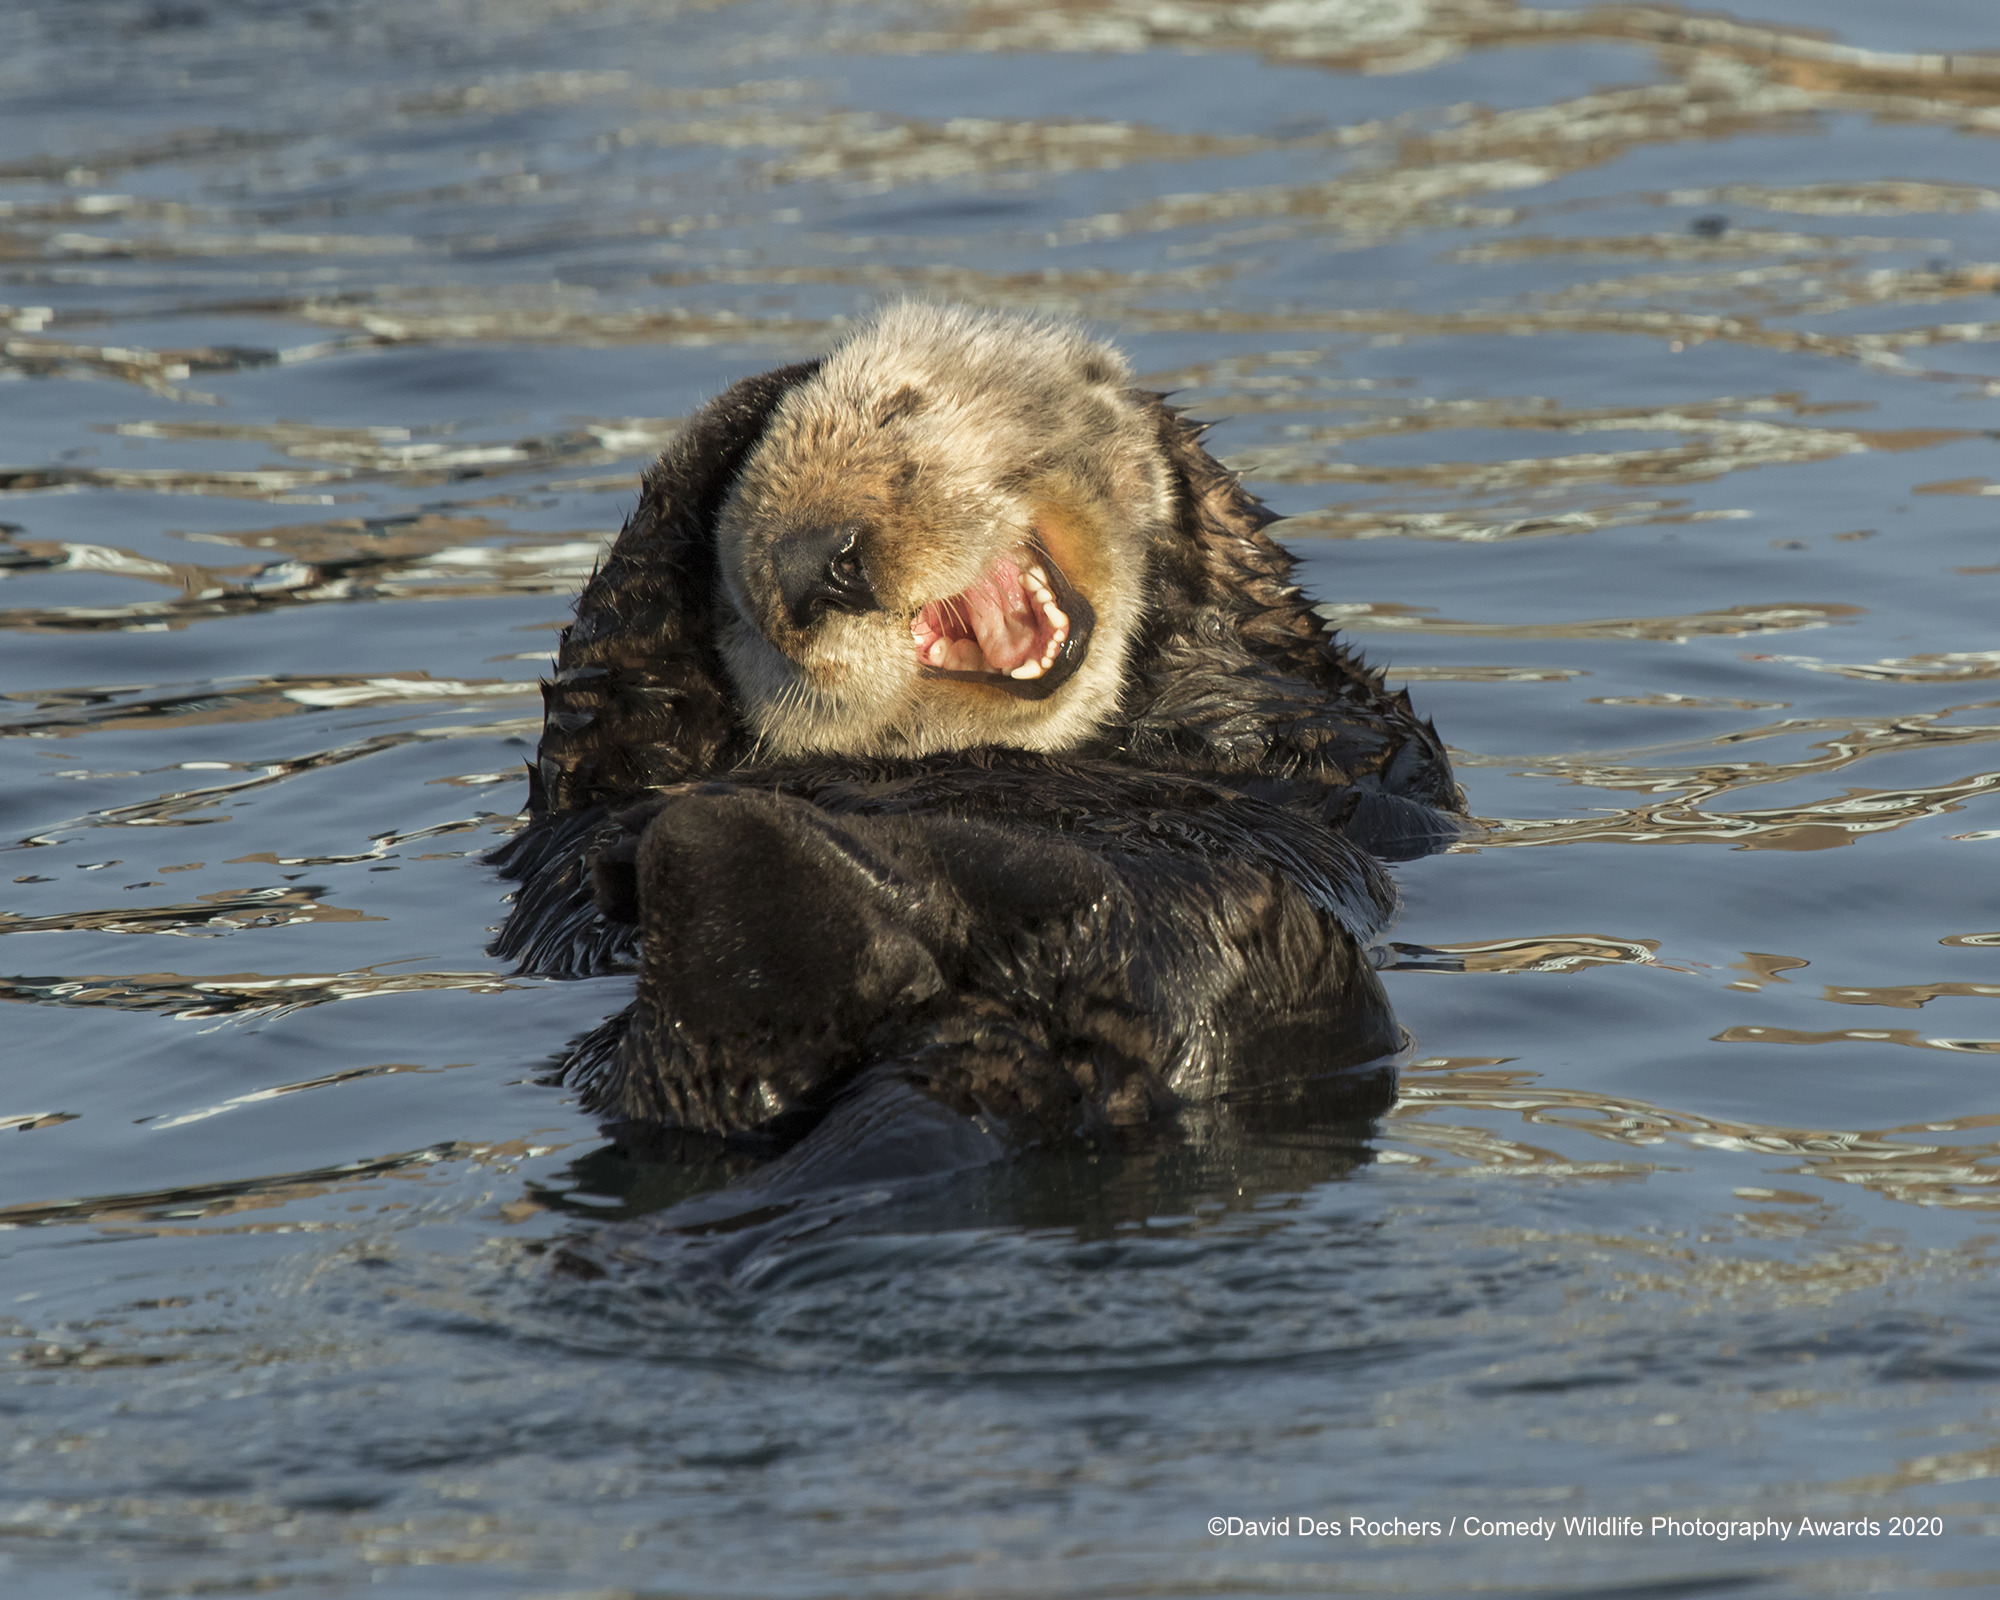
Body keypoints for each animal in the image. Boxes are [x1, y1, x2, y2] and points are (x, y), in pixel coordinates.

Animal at [492, 306, 1464, 1168]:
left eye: (903, 410)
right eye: (743, 609)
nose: (822, 565)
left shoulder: (1350, 731)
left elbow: (1295, 709)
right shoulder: (603, 769)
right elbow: (608, 702)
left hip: (1277, 967)